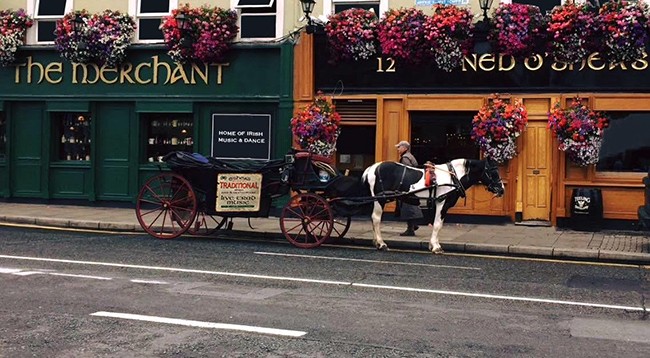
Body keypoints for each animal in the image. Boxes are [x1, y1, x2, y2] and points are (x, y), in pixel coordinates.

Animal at [362, 158, 504, 253]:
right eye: (492, 172)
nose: (502, 189)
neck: (453, 177)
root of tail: (371, 168)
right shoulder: (442, 203)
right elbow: (436, 225)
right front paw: (436, 247)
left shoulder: (443, 205)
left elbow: (439, 225)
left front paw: (433, 244)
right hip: (379, 200)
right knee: (376, 219)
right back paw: (381, 243)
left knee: (373, 219)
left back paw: (376, 242)